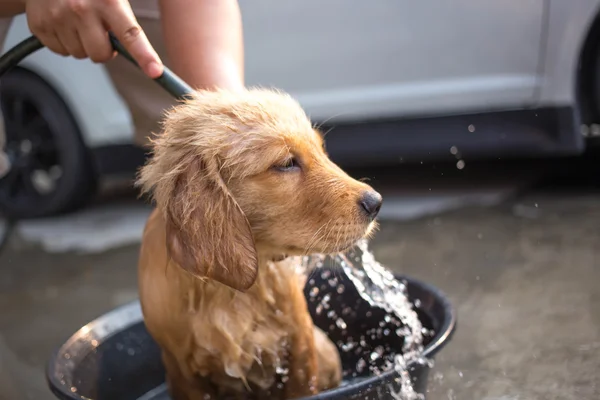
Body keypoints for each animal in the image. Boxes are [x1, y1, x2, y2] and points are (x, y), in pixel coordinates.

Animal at [137, 88, 382, 400]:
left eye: (321, 150)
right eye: (287, 163)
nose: (376, 202)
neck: (229, 292)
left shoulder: (302, 347)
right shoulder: (181, 369)